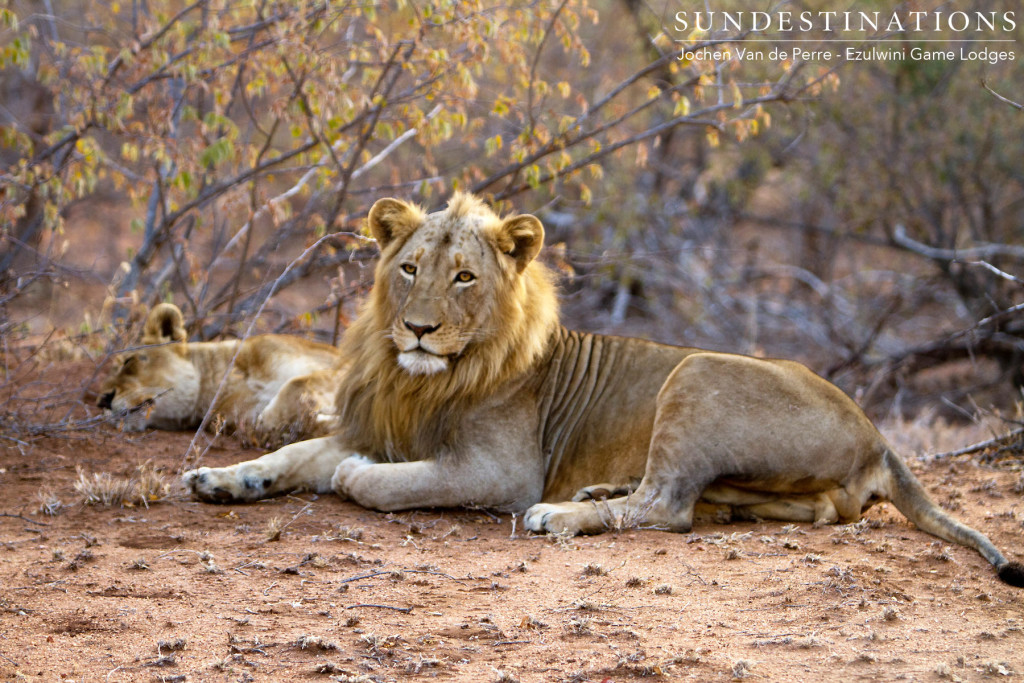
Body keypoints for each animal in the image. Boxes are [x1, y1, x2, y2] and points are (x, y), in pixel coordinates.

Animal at [99, 301, 342, 440]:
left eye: (128, 361)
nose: (102, 400)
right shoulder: (242, 417)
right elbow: (272, 423)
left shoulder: (342, 365)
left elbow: (296, 384)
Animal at [184, 193, 1024, 589]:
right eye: (410, 268)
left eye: (465, 277)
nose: (418, 329)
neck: (418, 380)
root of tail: (878, 433)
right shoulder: (377, 426)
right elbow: (295, 454)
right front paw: (221, 479)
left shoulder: (498, 470)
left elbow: (377, 482)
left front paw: (356, 479)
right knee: (727, 505)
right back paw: (598, 495)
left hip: (697, 373)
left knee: (668, 507)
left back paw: (562, 513)